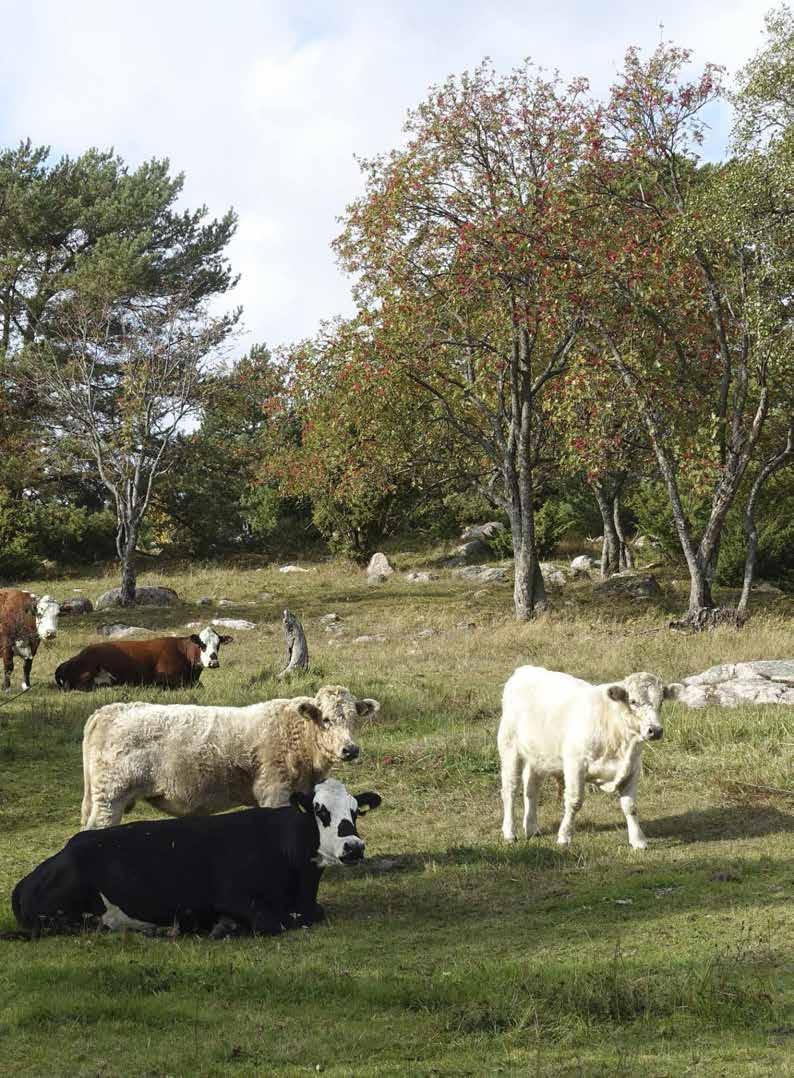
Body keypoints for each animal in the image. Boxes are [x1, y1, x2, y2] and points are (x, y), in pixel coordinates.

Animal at [10, 780, 383, 940]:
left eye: (355, 811)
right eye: (320, 811)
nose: (353, 847)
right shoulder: (232, 897)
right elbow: (271, 923)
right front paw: (223, 929)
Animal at [79, 685, 379, 827]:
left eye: (355, 719)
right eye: (326, 719)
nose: (350, 749)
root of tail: (109, 710)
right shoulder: (274, 791)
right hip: (111, 798)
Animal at [497, 664, 676, 849]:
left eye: (661, 702)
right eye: (633, 701)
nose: (655, 730)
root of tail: (524, 670)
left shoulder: (632, 767)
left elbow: (630, 806)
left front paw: (638, 840)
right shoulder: (575, 764)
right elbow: (574, 802)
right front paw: (564, 836)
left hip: (538, 756)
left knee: (531, 789)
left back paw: (532, 828)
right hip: (509, 747)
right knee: (510, 789)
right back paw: (509, 833)